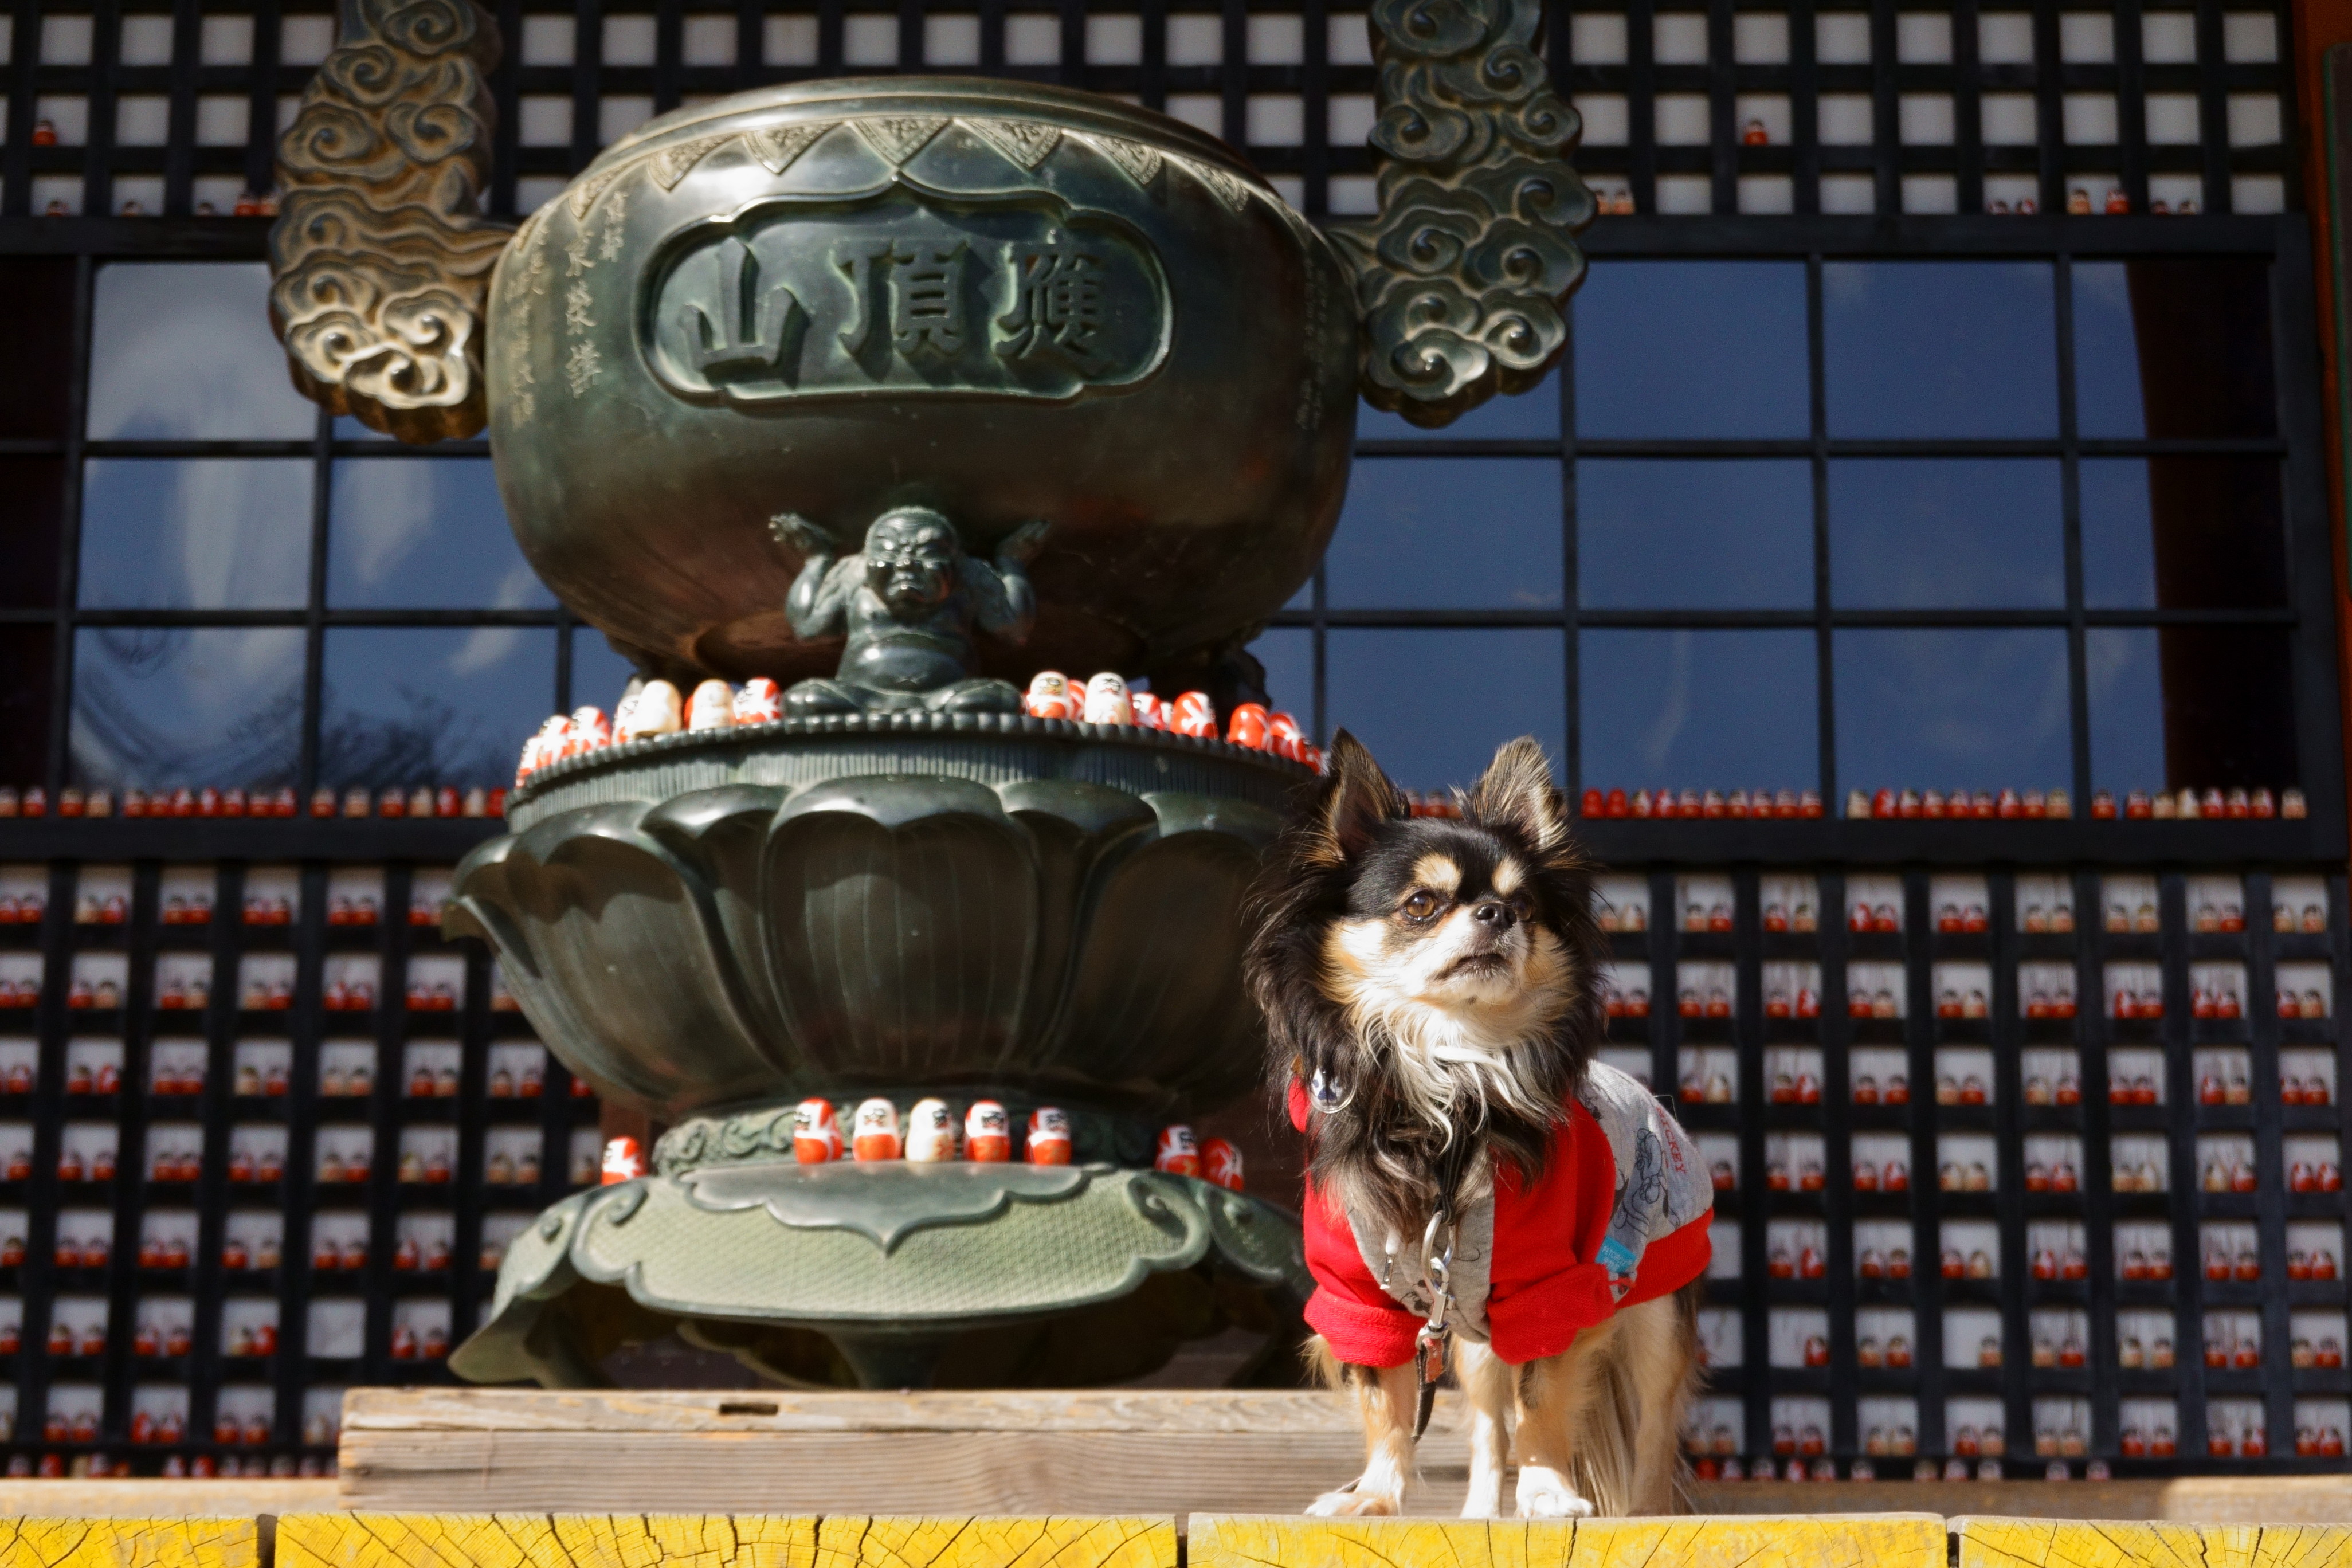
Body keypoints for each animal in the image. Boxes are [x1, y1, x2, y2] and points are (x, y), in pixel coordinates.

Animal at [1251, 738, 1712, 1523]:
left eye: (1524, 906)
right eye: (1421, 904)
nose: (1498, 913)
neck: (1449, 1079)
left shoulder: (1553, 1287)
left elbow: (1544, 1400)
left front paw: (1550, 1492)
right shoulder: (1357, 1294)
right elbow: (1386, 1403)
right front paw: (1374, 1495)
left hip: (1652, 1316)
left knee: (1650, 1441)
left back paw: (1641, 1513)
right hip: (1469, 1345)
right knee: (1490, 1430)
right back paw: (1479, 1515)